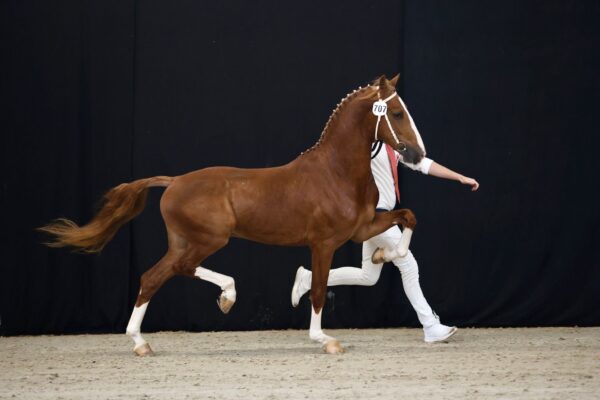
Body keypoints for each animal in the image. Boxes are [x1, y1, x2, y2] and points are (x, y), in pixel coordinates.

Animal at [39, 74, 425, 355]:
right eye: (396, 114)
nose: (417, 155)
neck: (336, 172)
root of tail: (174, 181)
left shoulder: (360, 228)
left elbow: (408, 217)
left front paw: (385, 253)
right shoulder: (324, 243)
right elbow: (317, 289)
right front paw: (325, 340)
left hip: (183, 241)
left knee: (152, 277)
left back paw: (141, 343)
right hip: (210, 238)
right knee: (179, 269)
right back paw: (227, 296)